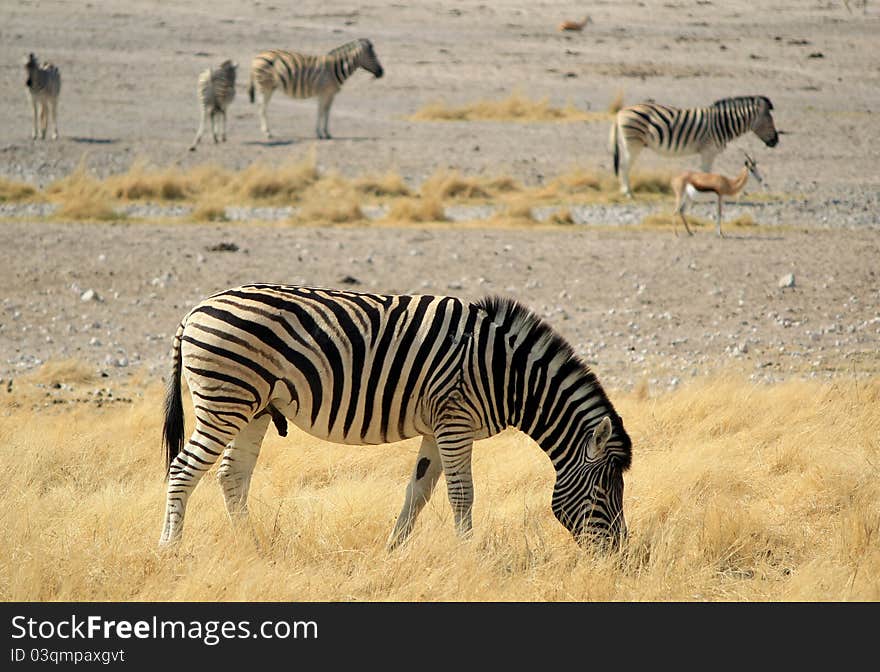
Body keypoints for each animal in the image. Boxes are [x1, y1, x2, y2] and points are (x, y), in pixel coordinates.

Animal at [160, 284, 632, 552]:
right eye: (604, 493)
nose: (622, 555)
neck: (508, 374)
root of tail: (194, 311)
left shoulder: (439, 427)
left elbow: (418, 492)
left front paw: (393, 551)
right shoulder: (455, 422)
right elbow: (462, 495)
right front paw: (471, 556)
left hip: (254, 408)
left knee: (232, 476)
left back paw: (253, 549)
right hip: (225, 401)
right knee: (183, 470)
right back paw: (171, 551)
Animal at [248, 38, 384, 140]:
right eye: (373, 55)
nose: (382, 73)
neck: (335, 68)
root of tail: (256, 57)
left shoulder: (331, 94)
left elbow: (327, 112)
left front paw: (327, 133)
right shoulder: (323, 93)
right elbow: (321, 111)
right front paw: (319, 133)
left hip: (269, 87)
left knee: (262, 106)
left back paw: (267, 131)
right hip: (266, 87)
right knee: (262, 107)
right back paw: (267, 133)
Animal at [608, 97, 780, 197]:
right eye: (770, 121)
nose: (776, 142)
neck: (723, 125)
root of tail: (620, 112)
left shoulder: (707, 152)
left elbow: (705, 171)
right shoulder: (708, 150)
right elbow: (706, 172)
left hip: (629, 143)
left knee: (623, 166)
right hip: (633, 143)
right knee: (624, 166)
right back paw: (628, 193)